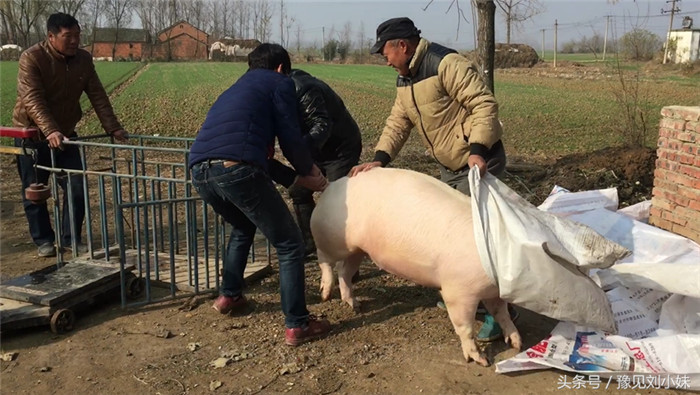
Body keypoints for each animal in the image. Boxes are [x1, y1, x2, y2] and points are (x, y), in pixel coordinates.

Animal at [310, 166, 520, 366]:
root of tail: (331, 186)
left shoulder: (492, 292)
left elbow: (501, 313)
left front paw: (517, 342)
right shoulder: (458, 291)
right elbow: (465, 327)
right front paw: (482, 361)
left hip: (358, 250)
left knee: (345, 271)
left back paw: (356, 306)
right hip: (333, 239)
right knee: (324, 259)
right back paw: (325, 294)